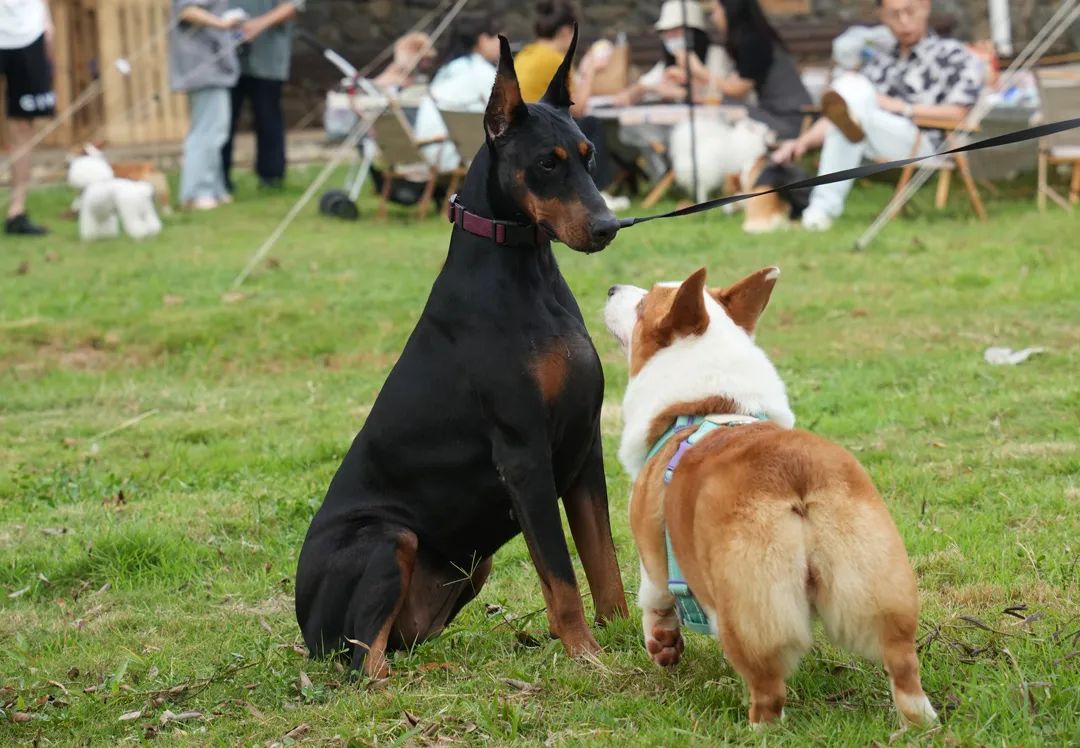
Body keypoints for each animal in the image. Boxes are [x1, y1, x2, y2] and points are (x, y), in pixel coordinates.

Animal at [609, 266, 937, 725]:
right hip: (875, 581)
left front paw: (662, 647)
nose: (611, 288)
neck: (708, 401)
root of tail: (794, 472)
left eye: (642, 305)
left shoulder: (651, 548)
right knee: (903, 663)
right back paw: (919, 723)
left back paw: (758, 728)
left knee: (766, 688)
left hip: (751, 607)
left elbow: (653, 599)